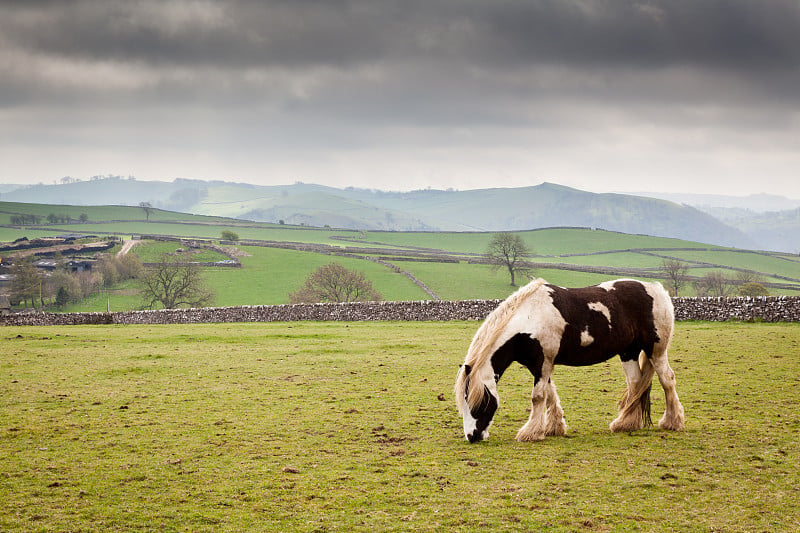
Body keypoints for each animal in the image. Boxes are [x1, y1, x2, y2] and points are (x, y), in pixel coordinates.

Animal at [454, 276, 684, 442]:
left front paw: (530, 433)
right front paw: (553, 428)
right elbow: (550, 394)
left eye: (477, 402)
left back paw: (672, 422)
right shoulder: (540, 365)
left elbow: (538, 396)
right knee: (636, 383)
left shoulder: (543, 363)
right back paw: (625, 424)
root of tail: (658, 290)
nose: (472, 437)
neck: (530, 318)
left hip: (656, 351)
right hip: (629, 352)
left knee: (667, 380)